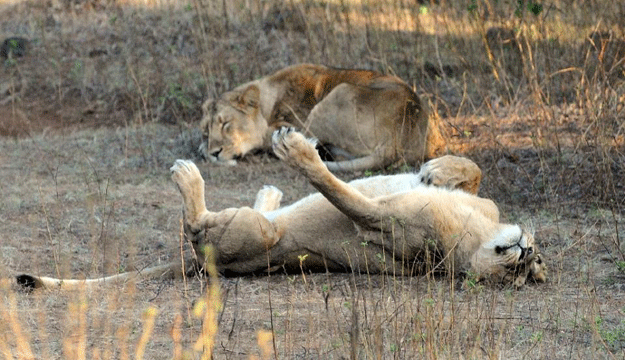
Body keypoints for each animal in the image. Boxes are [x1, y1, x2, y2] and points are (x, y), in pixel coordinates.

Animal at [15, 129, 544, 290]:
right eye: (535, 259)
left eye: (523, 273)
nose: (524, 252)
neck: (478, 236)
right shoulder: (478, 203)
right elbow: (473, 171)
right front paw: (437, 170)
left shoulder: (380, 225)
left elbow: (338, 189)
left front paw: (296, 150)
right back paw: (269, 192)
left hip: (251, 237)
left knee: (197, 227)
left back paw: (189, 176)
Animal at [197, 63, 446, 172]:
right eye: (206, 131)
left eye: (226, 124)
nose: (215, 152)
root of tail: (398, 139)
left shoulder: (291, 123)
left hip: (338, 93)